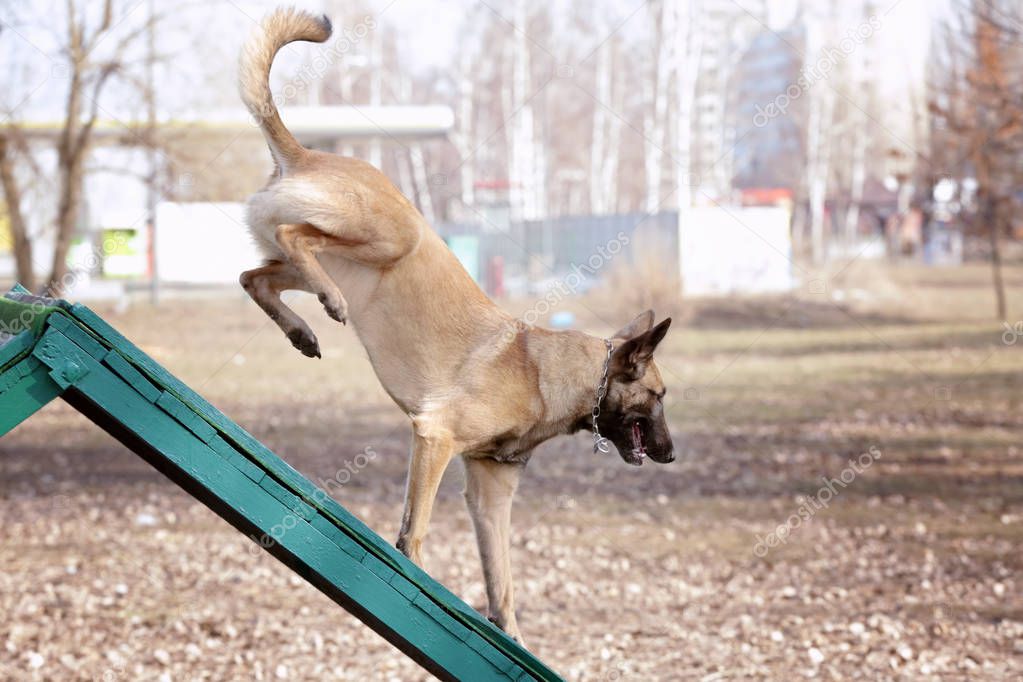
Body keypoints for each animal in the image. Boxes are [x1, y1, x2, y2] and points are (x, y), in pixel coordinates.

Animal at [235, 7, 675, 642]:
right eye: (659, 398)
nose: (671, 455)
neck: (549, 377)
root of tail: (311, 154)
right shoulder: (435, 437)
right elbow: (416, 530)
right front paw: (415, 576)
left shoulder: (490, 493)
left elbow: (503, 579)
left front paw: (510, 633)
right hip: (393, 235)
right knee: (296, 240)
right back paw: (330, 303)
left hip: (343, 256)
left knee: (255, 277)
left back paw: (301, 330)